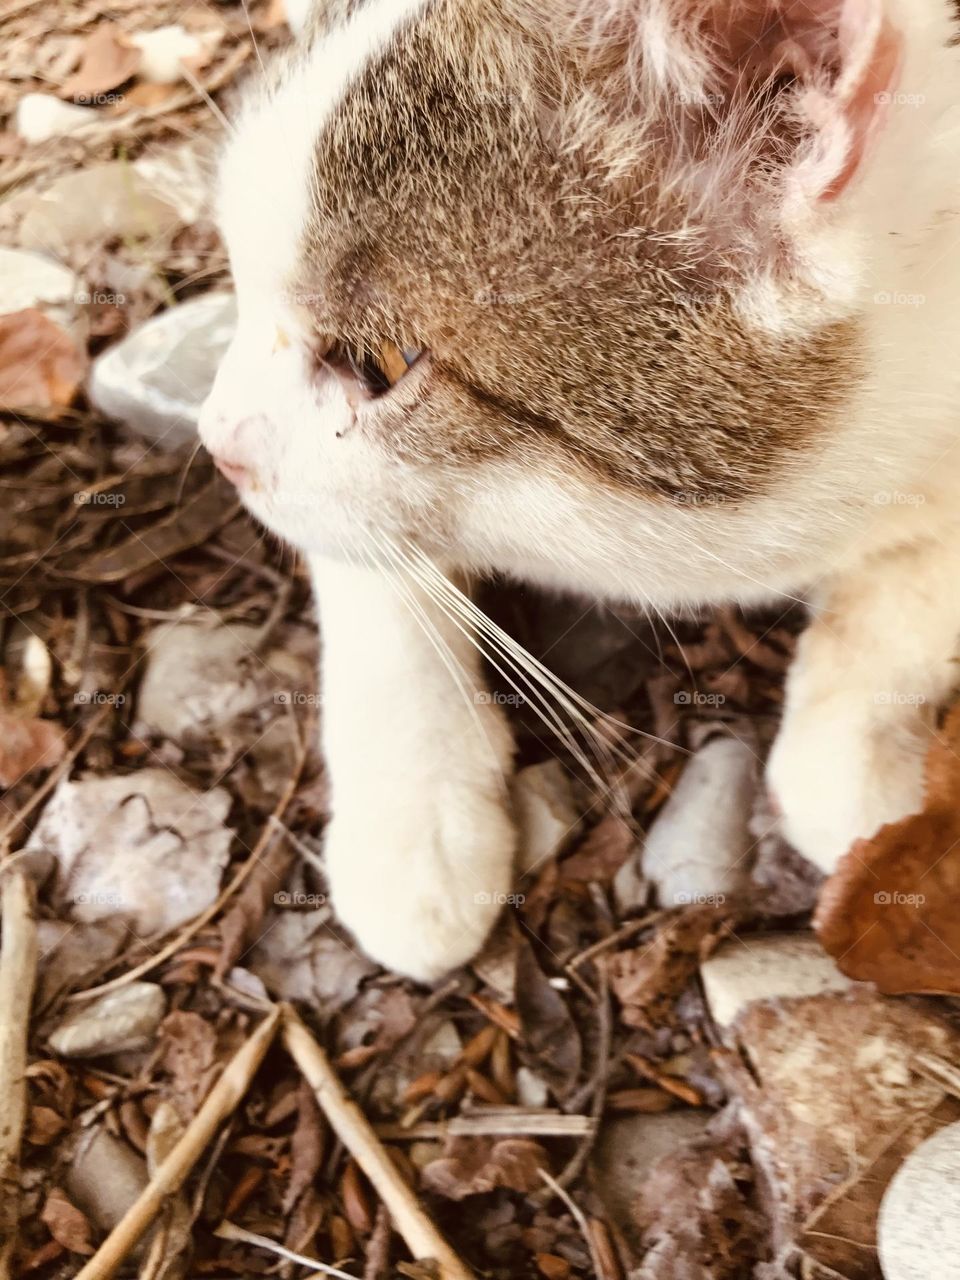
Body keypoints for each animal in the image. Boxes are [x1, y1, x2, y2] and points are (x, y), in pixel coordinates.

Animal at [199, 0, 960, 977]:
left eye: (380, 364)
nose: (216, 440)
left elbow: (906, 607)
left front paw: (864, 786)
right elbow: (368, 554)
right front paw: (411, 816)